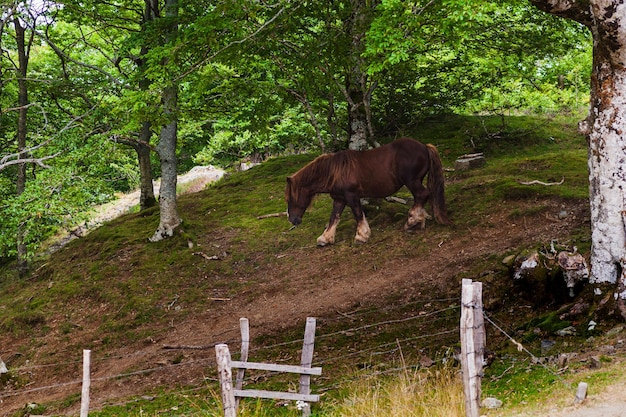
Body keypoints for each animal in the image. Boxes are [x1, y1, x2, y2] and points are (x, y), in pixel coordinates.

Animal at [282, 138, 448, 245]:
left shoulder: (351, 196)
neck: (335, 172)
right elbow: (334, 218)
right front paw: (325, 238)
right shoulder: (339, 199)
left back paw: (411, 221)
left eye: (290, 198)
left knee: (423, 194)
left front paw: (361, 236)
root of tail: (424, 146)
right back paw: (420, 220)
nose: (292, 219)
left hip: (411, 181)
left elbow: (358, 214)